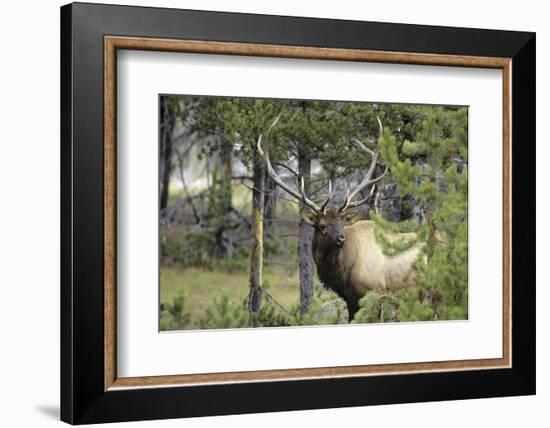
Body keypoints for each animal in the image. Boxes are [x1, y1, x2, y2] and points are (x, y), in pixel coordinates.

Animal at [260, 115, 426, 320]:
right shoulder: (350, 299)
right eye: (322, 225)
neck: (342, 272)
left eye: (341, 223)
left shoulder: (374, 294)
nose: (341, 239)